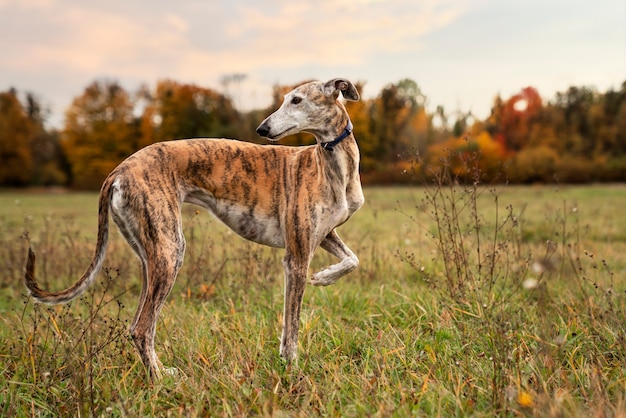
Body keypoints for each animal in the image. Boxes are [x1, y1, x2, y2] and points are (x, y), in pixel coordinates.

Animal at [25, 77, 366, 378]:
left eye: (296, 100)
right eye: (287, 99)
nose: (262, 128)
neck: (332, 165)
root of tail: (120, 169)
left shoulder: (323, 234)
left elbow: (353, 260)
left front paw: (324, 277)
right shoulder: (296, 257)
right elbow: (291, 327)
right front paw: (291, 368)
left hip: (151, 256)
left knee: (138, 324)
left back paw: (160, 371)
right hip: (170, 249)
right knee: (141, 328)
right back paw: (160, 379)